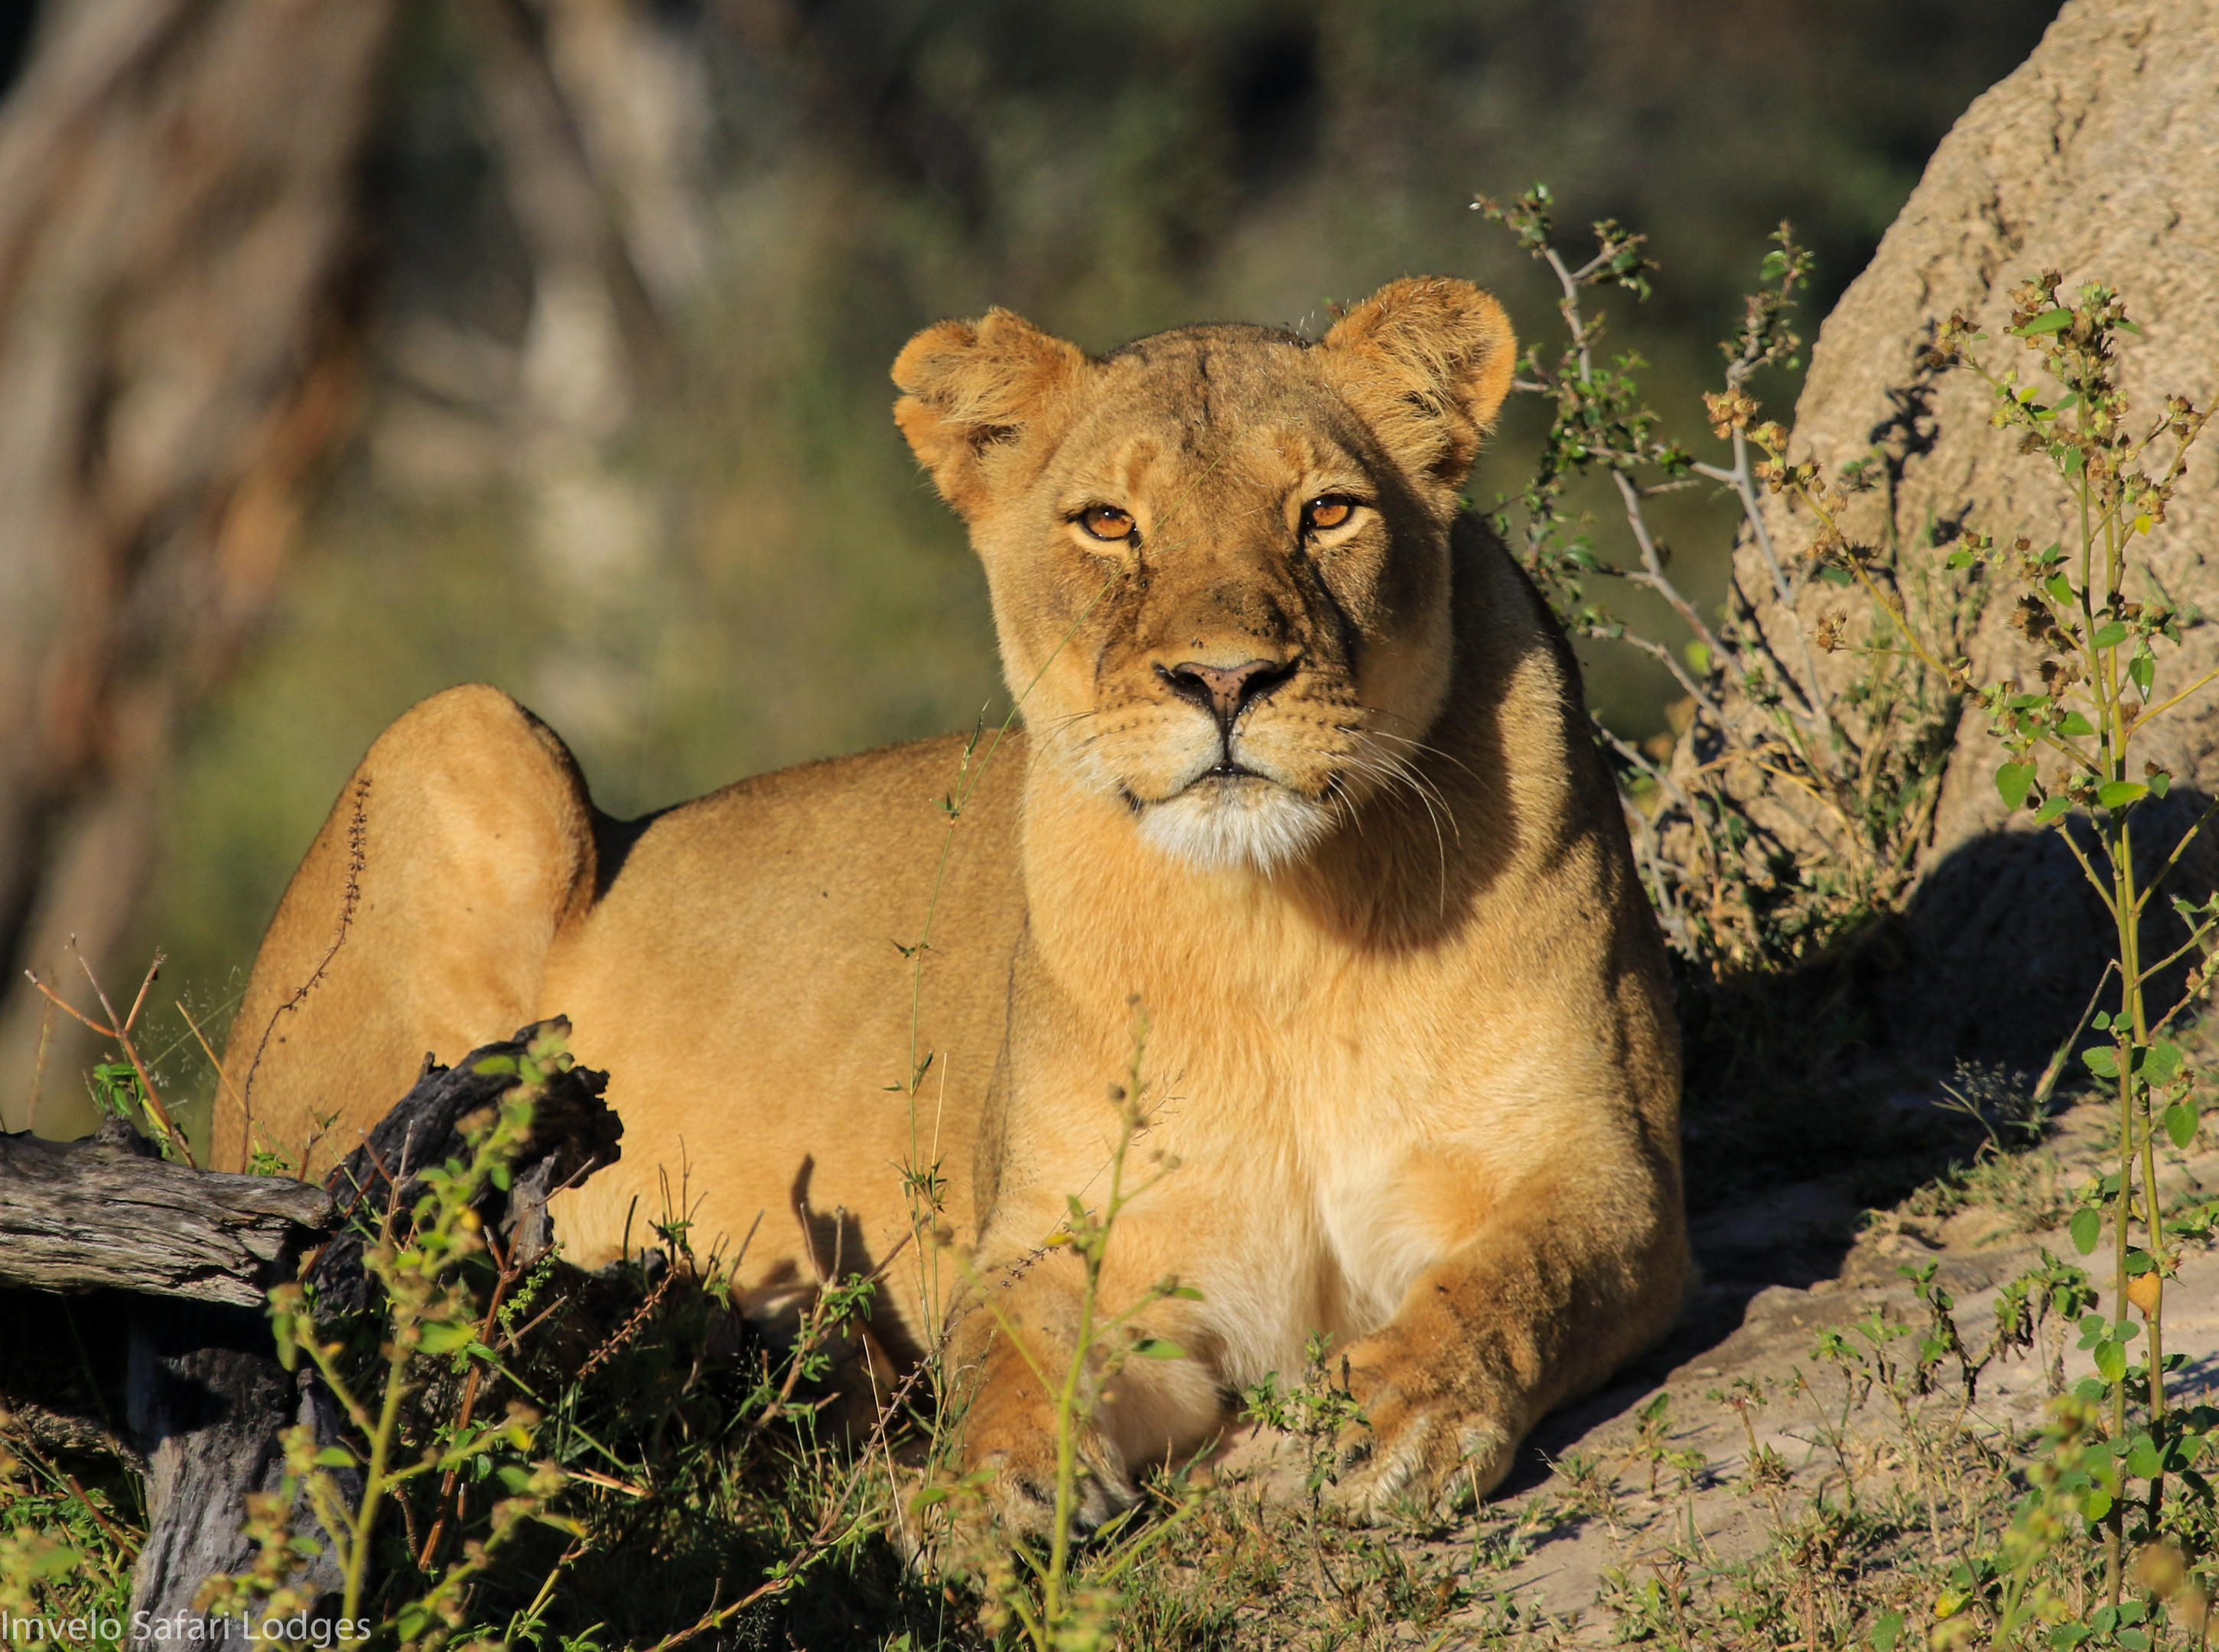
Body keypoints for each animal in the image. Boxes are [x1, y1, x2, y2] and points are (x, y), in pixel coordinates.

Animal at [216, 276, 1688, 1530]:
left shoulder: (1604, 1173)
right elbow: (1009, 1363)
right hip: (460, 730)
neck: (1274, 922)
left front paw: (1371, 1433)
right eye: (1108, 523)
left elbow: (1503, 1287)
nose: (1224, 679)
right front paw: (986, 1500)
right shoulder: (1079, 1246)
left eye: (1328, 512)